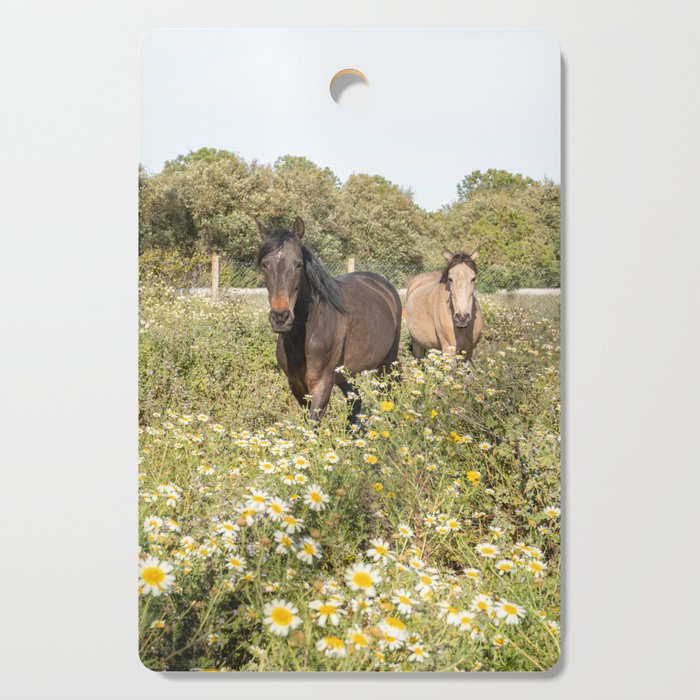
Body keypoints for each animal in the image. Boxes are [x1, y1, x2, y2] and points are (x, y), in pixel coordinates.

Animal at [256, 217, 402, 426]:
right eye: (264, 265)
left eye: (298, 265)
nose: (280, 318)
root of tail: (384, 286)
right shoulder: (296, 385)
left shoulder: (322, 384)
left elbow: (313, 425)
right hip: (345, 373)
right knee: (355, 401)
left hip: (387, 365)